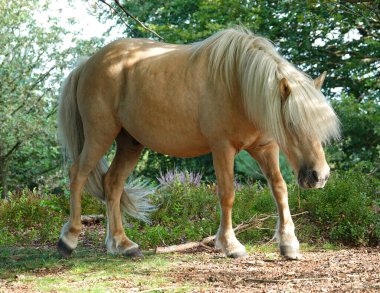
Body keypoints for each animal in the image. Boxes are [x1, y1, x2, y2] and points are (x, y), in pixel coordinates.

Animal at [58, 28, 340, 258]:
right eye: (291, 124)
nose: (320, 176)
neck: (238, 84)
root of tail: (88, 64)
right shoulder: (222, 148)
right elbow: (227, 193)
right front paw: (230, 244)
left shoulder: (265, 148)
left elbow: (280, 190)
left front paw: (289, 243)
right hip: (100, 135)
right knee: (78, 175)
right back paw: (69, 239)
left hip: (130, 144)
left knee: (112, 184)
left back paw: (122, 244)